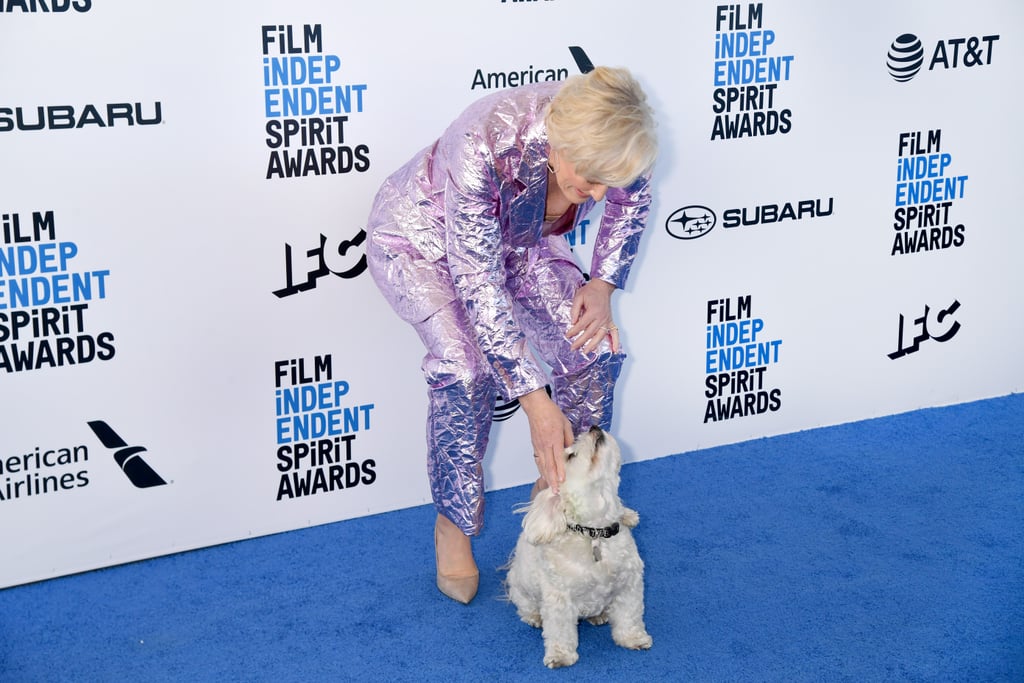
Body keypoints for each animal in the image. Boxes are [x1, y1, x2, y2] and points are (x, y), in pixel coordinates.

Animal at [505, 428, 655, 667]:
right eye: (570, 456)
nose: (594, 427)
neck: (596, 533)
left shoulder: (629, 585)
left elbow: (629, 616)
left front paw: (633, 639)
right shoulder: (558, 599)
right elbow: (559, 631)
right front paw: (560, 656)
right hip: (522, 591)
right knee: (525, 606)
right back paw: (534, 617)